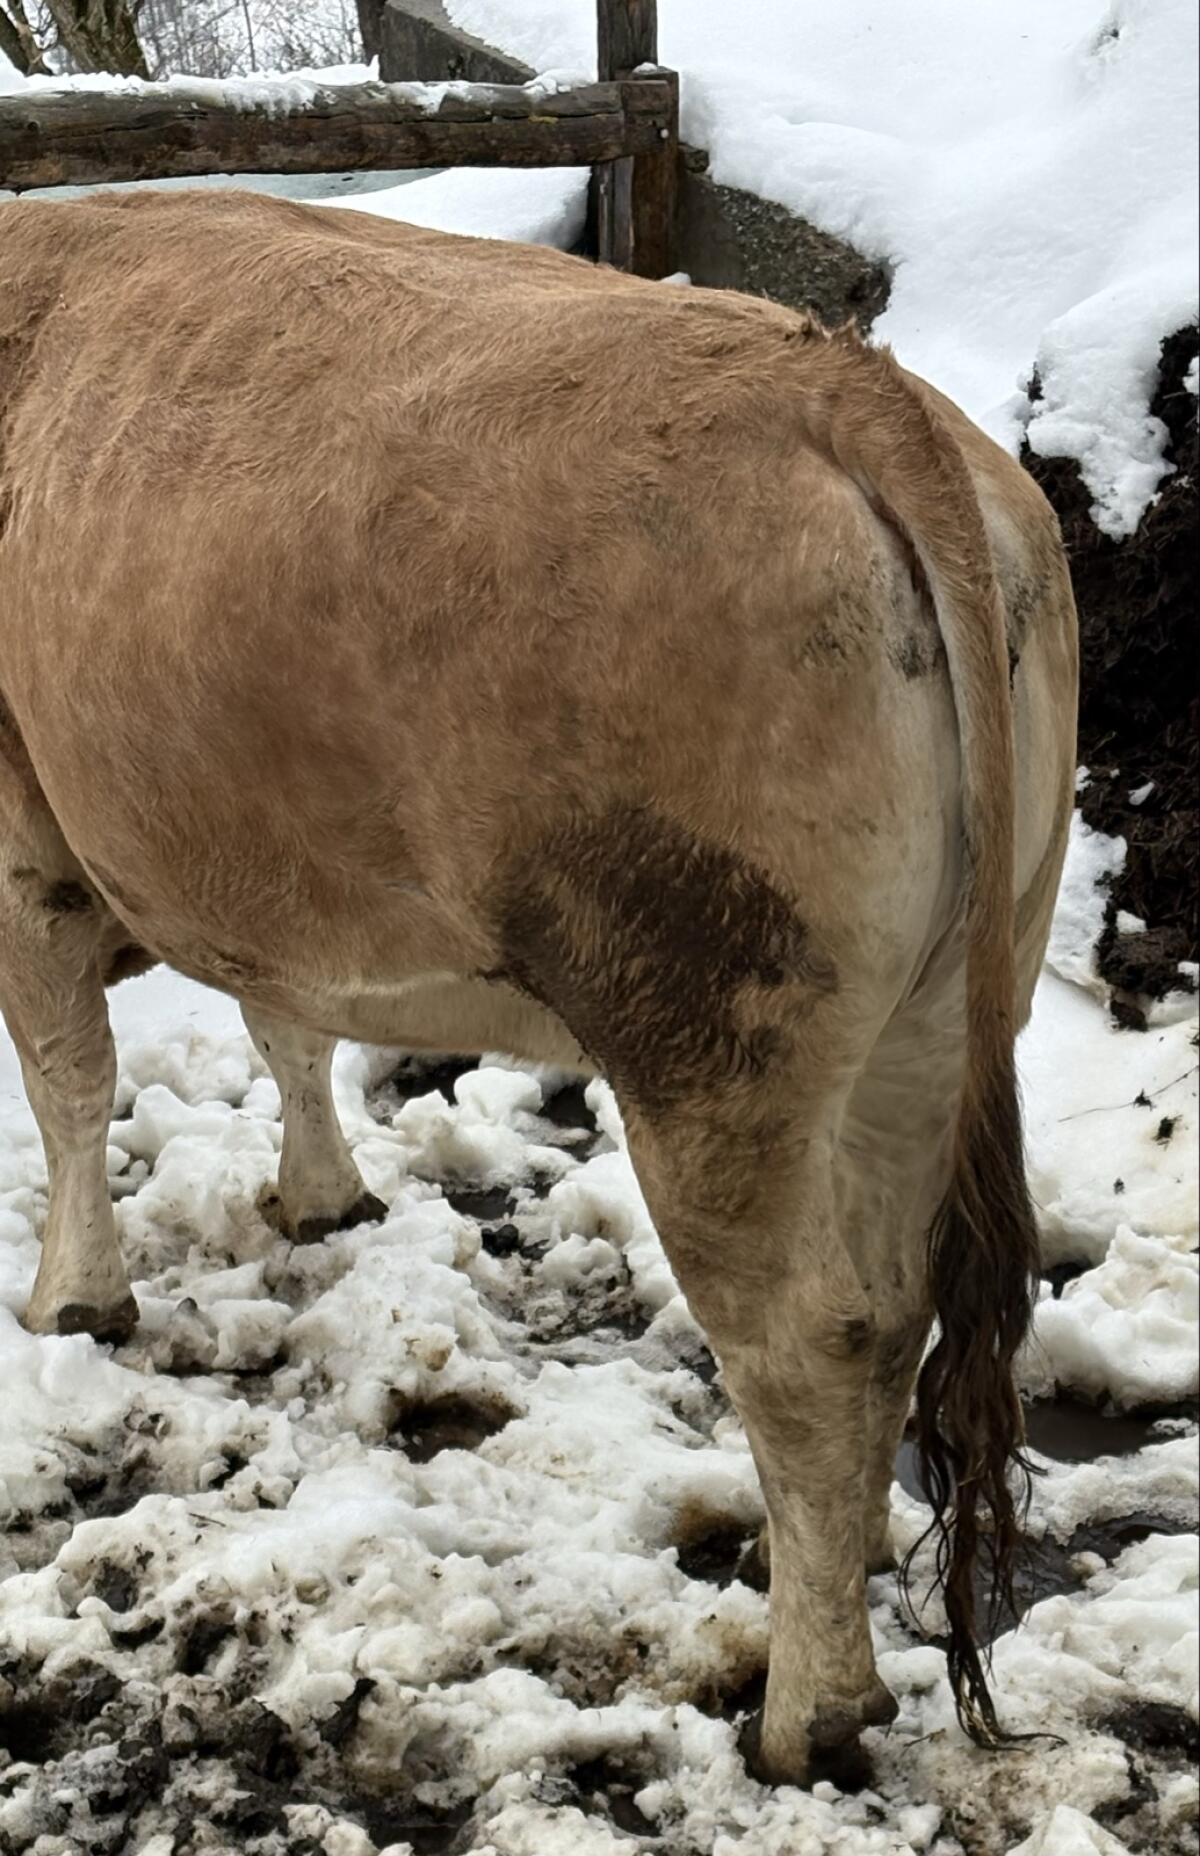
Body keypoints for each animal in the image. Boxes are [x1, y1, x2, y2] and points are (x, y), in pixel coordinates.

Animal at [0, 189, 1077, 1786]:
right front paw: (320, 1195)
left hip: (707, 1026)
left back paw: (810, 1708)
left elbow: (72, 1077)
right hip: (934, 1016)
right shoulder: (261, 860)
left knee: (806, 1343)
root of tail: (846, 386)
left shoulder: (22, 837)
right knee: (891, 1312)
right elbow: (281, 1018)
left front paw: (73, 1298)